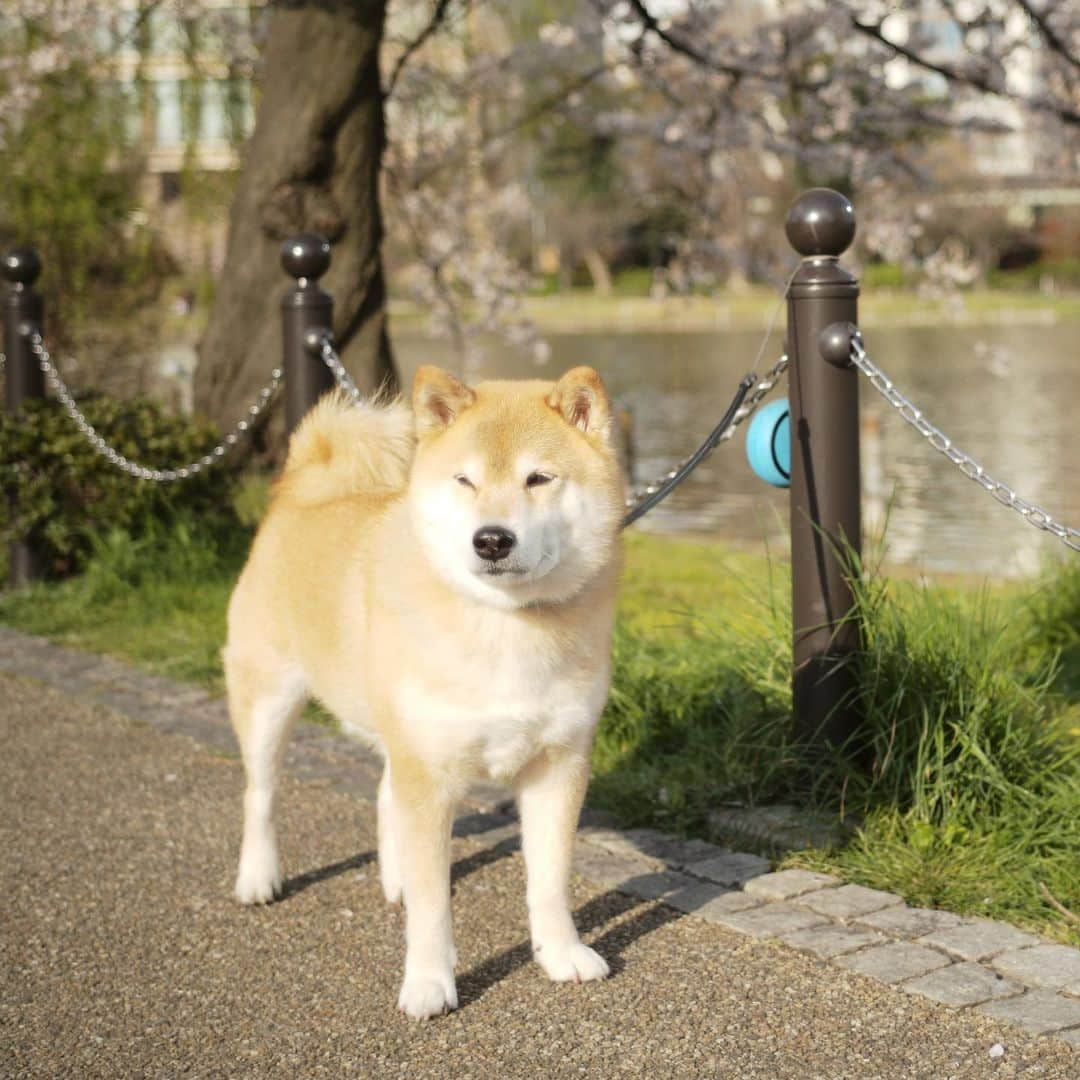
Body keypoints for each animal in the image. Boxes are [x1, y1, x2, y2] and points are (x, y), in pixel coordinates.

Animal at [225, 367, 626, 1015]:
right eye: (465, 480)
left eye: (538, 478)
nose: (492, 539)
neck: (504, 627)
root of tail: (305, 488)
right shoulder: (431, 773)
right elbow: (434, 905)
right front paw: (429, 982)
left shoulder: (559, 763)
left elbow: (550, 881)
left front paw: (561, 953)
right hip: (270, 699)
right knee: (260, 793)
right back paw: (260, 876)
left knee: (385, 793)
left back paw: (394, 879)